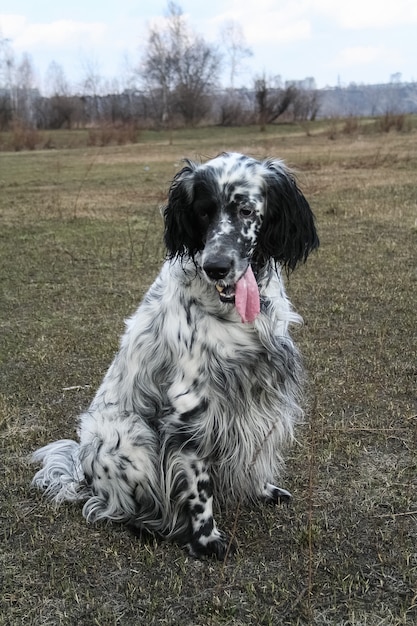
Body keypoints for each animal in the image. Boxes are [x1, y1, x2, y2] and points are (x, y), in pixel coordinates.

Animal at [32, 151, 318, 556]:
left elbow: (257, 450)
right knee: (114, 507)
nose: (216, 266)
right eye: (202, 212)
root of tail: (83, 472)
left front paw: (261, 490)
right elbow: (199, 487)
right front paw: (206, 540)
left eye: (246, 210)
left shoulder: (261, 390)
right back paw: (150, 525)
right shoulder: (191, 408)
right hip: (131, 437)